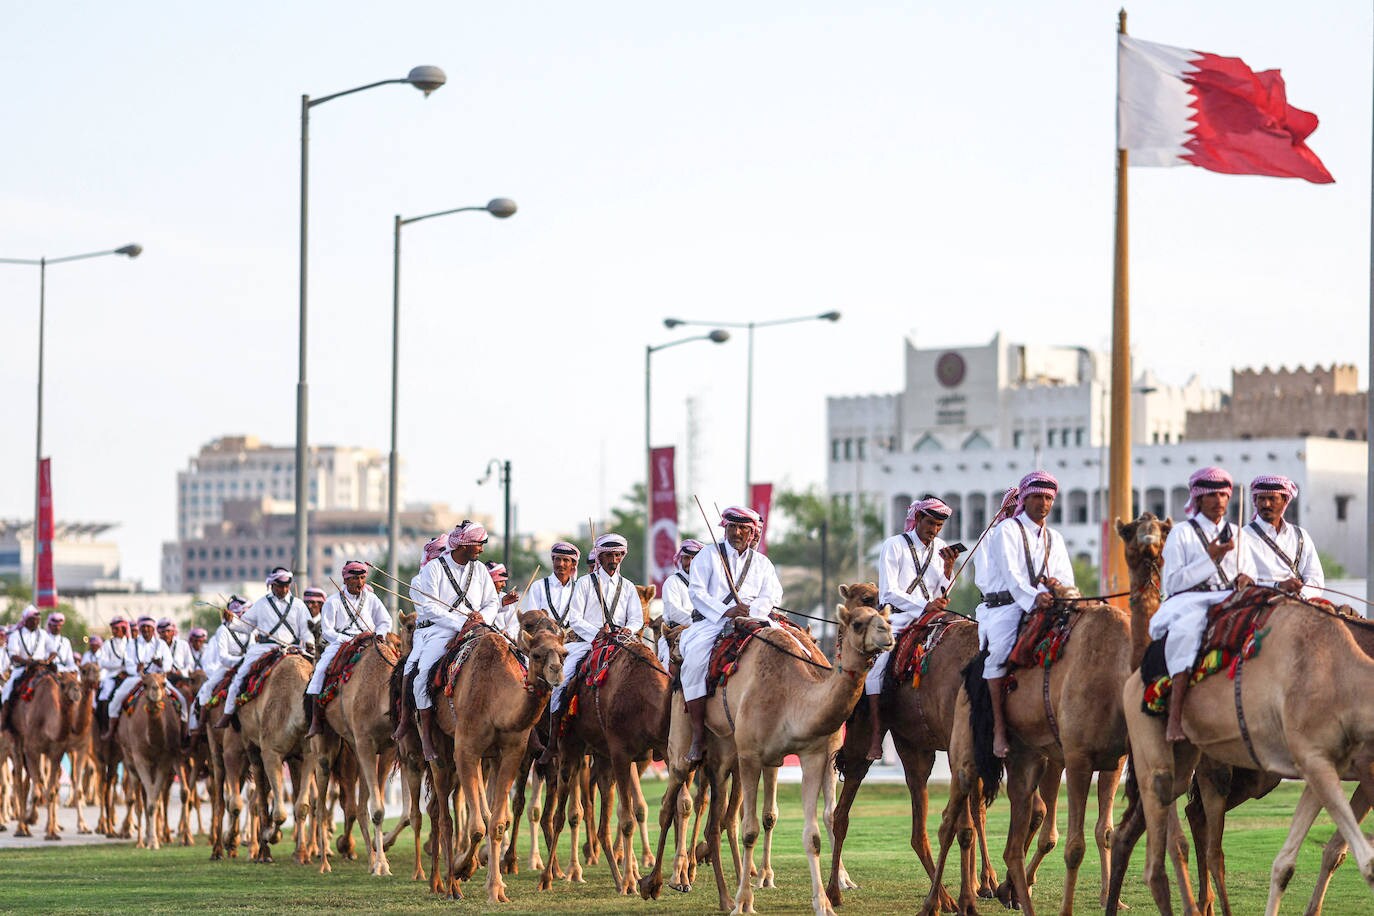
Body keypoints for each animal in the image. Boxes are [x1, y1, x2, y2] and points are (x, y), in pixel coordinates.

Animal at [113, 670, 185, 851]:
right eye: (145, 684)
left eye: (164, 683)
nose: (155, 690)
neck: (153, 741)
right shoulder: (140, 759)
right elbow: (147, 804)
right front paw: (150, 841)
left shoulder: (164, 760)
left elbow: (154, 802)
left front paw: (154, 841)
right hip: (129, 759)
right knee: (137, 800)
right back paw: (140, 841)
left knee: (150, 798)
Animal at [239, 648, 321, 862]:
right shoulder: (271, 752)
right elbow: (280, 814)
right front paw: (271, 834)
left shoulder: (308, 755)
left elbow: (301, 805)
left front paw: (301, 854)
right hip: (251, 745)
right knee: (259, 796)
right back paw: (262, 851)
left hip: (293, 758)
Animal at [309, 631, 401, 873]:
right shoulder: (365, 741)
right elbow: (377, 810)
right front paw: (381, 867)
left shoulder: (387, 748)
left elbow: (376, 808)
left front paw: (380, 863)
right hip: (325, 741)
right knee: (320, 801)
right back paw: (323, 862)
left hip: (355, 749)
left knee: (358, 806)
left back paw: (369, 859)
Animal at [425, 615, 560, 900]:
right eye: (536, 654)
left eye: (563, 652)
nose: (557, 672)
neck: (494, 699)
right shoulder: (466, 750)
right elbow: (477, 826)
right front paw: (462, 870)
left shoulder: (511, 753)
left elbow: (497, 823)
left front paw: (496, 888)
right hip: (438, 748)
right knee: (443, 815)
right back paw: (447, 884)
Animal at [640, 598, 890, 911]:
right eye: (857, 623)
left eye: (885, 618)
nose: (887, 634)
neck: (792, 693)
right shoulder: (750, 756)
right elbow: (749, 829)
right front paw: (745, 902)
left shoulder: (814, 753)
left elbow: (813, 831)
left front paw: (824, 900)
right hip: (684, 740)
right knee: (671, 800)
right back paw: (659, 882)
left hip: (723, 755)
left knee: (714, 819)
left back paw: (723, 896)